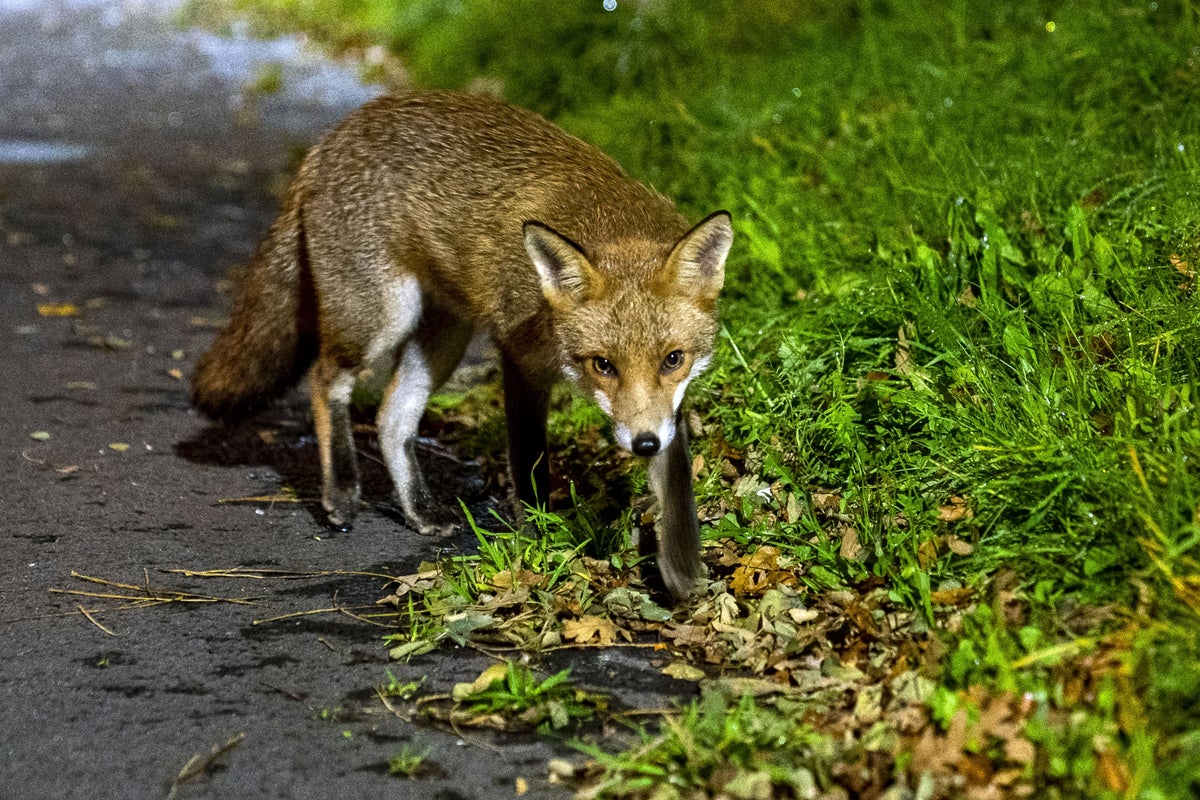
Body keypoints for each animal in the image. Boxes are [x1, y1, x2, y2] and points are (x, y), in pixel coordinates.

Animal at [191, 91, 733, 599]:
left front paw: (683, 567)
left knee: (390, 418)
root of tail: (335, 135)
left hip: (443, 340)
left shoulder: (664, 408)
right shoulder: (519, 356)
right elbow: (530, 463)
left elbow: (677, 482)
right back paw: (343, 492)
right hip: (381, 318)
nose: (642, 445)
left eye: (673, 359)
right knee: (325, 380)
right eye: (603, 364)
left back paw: (420, 512)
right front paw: (539, 534)